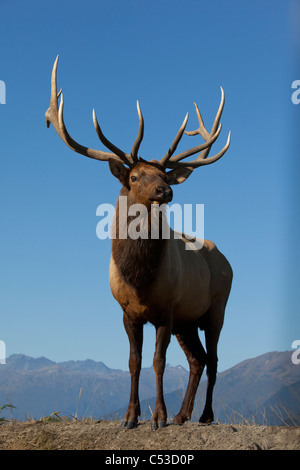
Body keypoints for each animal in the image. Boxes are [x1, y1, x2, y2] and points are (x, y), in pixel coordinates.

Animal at [45, 56, 232, 430]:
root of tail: (227, 260)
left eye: (162, 174)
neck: (140, 280)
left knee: (215, 359)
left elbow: (158, 362)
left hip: (216, 307)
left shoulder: (166, 309)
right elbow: (133, 361)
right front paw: (131, 417)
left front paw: (157, 417)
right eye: (133, 176)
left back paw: (204, 415)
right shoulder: (127, 312)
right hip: (188, 320)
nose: (166, 190)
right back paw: (183, 414)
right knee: (198, 359)